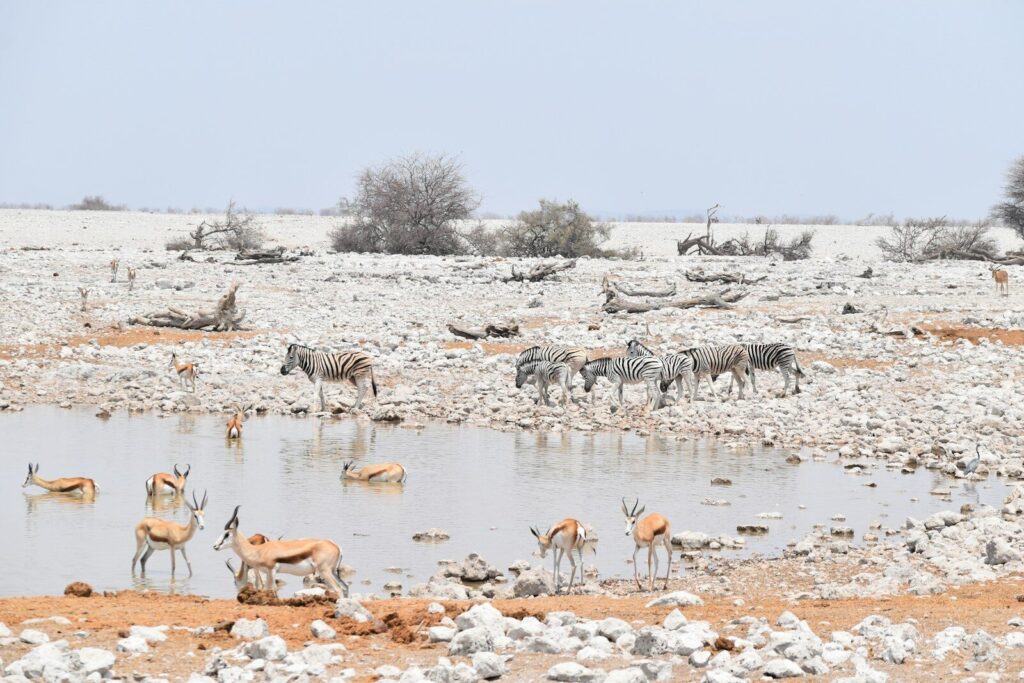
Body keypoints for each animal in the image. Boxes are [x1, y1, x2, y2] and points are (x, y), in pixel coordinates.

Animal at [213, 505, 349, 597]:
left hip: (325, 571)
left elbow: (270, 589)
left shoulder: (271, 571)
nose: (215, 546)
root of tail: (336, 545)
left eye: (227, 534)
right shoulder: (266, 572)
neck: (258, 550)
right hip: (333, 572)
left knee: (338, 589)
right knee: (345, 587)